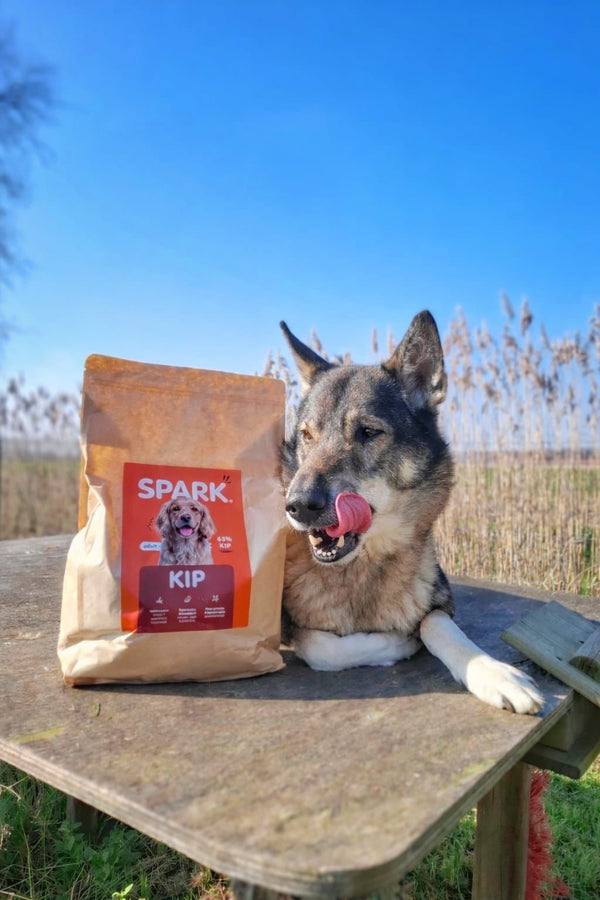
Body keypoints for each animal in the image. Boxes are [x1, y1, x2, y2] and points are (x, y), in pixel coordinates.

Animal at [280, 311, 543, 714]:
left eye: (367, 432)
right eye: (308, 436)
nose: (297, 505)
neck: (362, 570)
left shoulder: (440, 598)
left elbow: (437, 624)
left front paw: (494, 673)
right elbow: (324, 647)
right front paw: (400, 641)